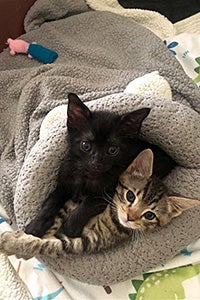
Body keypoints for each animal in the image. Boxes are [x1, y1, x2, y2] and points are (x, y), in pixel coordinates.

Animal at [1, 149, 198, 260]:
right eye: (130, 196)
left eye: (149, 215)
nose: (129, 217)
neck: (109, 215)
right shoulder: (75, 200)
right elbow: (56, 219)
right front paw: (23, 236)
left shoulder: (88, 242)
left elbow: (50, 245)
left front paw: (13, 245)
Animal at [24, 92, 175, 238]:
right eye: (85, 145)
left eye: (112, 150)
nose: (96, 162)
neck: (88, 174)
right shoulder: (63, 185)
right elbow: (51, 203)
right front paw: (35, 226)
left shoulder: (107, 193)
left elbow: (87, 205)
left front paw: (69, 228)